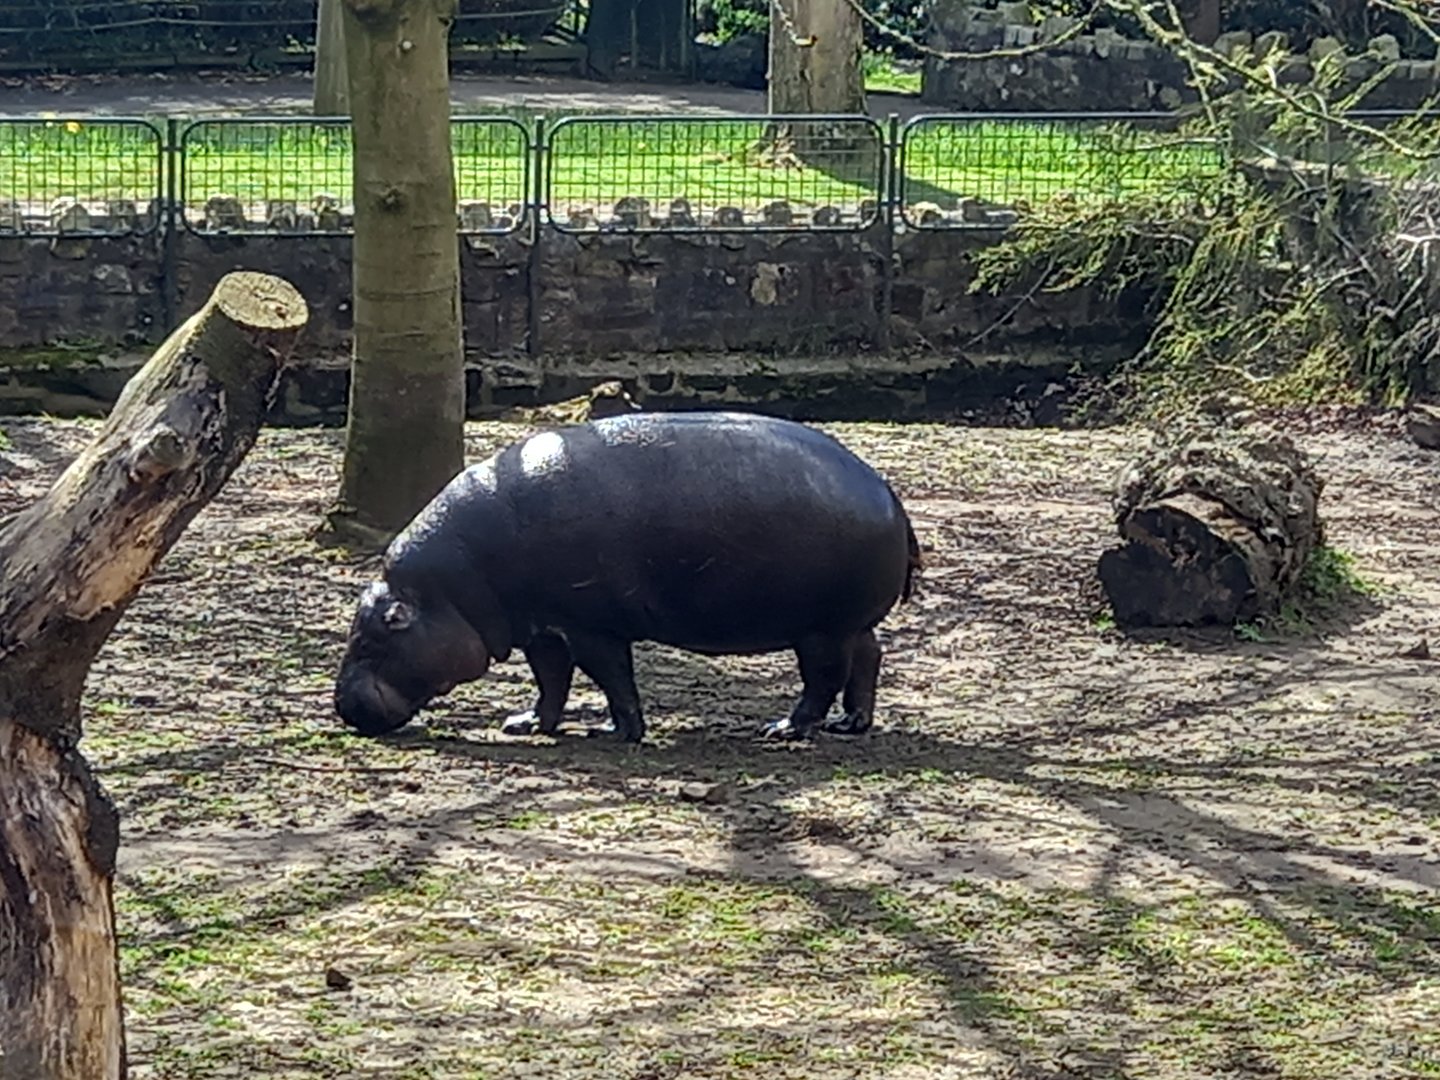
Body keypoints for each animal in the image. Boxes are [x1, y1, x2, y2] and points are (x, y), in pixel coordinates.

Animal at [333, 410, 920, 744]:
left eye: (374, 637)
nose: (343, 709)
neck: (447, 591)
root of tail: (890, 494)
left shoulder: (590, 625)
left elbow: (611, 677)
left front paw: (620, 732)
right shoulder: (542, 626)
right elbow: (551, 679)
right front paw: (527, 725)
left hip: (819, 629)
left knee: (824, 678)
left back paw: (783, 730)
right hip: (848, 624)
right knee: (868, 658)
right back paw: (851, 725)